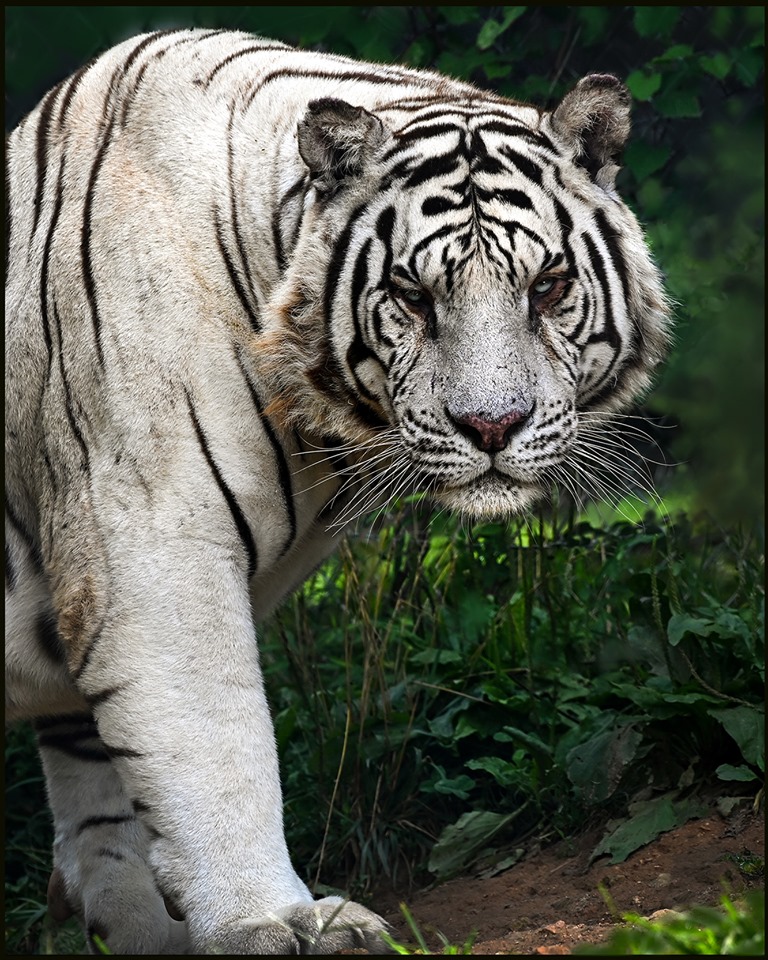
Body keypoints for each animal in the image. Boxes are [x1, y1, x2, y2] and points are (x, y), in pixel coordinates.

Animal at [4, 28, 664, 952]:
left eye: (549, 286)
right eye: (413, 296)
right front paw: (265, 919)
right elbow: (216, 746)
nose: (491, 426)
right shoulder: (149, 549)